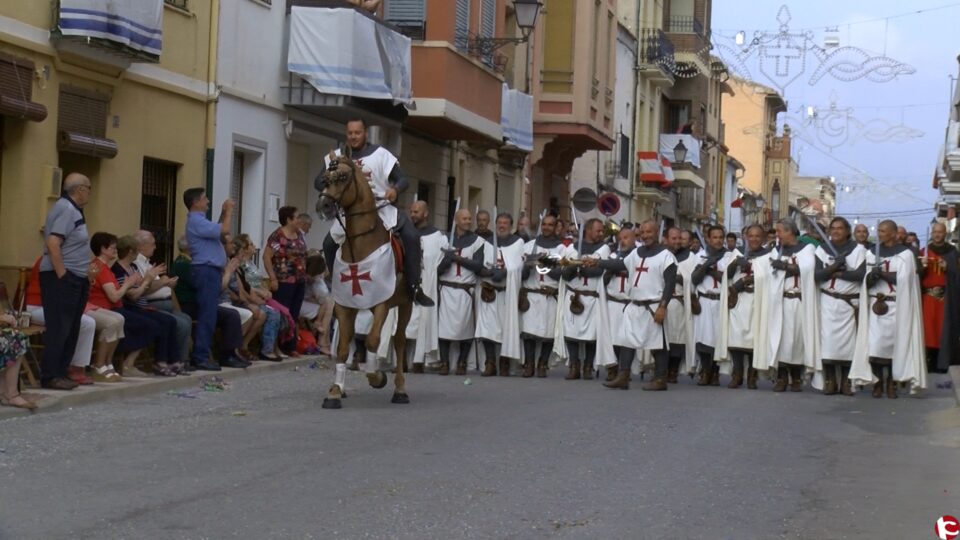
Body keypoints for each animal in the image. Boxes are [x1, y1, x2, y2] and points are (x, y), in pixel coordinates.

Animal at [316, 152, 410, 410]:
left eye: (343, 177)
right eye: (325, 178)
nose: (323, 205)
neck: (361, 242)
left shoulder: (382, 304)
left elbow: (372, 340)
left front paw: (376, 376)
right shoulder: (345, 305)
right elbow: (342, 347)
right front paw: (335, 392)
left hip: (406, 304)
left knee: (399, 341)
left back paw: (400, 390)